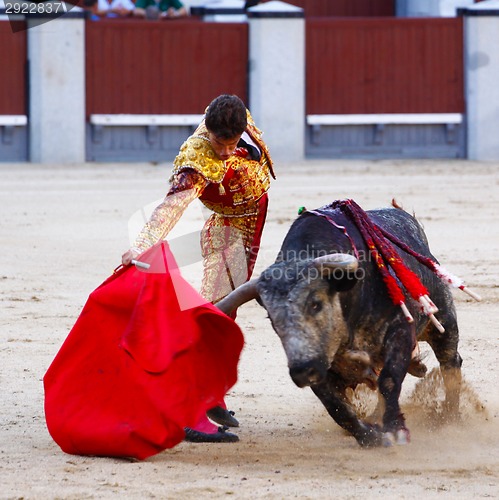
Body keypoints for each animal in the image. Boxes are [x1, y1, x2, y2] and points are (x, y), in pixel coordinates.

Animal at [219, 201, 464, 448]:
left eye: (315, 304)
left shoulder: (401, 329)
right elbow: (336, 407)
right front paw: (371, 437)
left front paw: (395, 429)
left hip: (444, 321)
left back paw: (449, 417)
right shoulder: (319, 363)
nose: (301, 371)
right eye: (272, 318)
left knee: (450, 361)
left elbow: (389, 380)